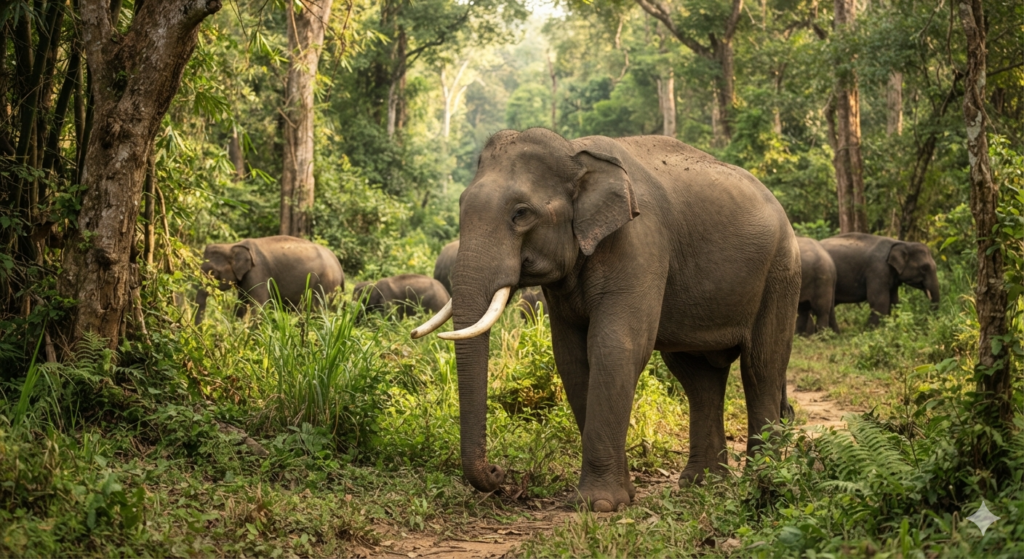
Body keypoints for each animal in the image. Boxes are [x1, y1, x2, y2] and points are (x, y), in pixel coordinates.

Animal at [195, 235, 344, 324]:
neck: (232, 245)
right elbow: (241, 305)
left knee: (317, 312)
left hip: (324, 285)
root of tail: (340, 268)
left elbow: (257, 306)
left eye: (212, 273)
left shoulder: (258, 273)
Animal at [410, 129, 800, 512]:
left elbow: (615, 347)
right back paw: (701, 484)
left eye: (521, 213)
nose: (498, 472)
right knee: (698, 378)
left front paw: (597, 504)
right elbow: (570, 357)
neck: (575, 151)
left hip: (781, 273)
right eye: (461, 206)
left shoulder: (639, 243)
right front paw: (622, 496)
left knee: (761, 366)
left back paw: (762, 480)